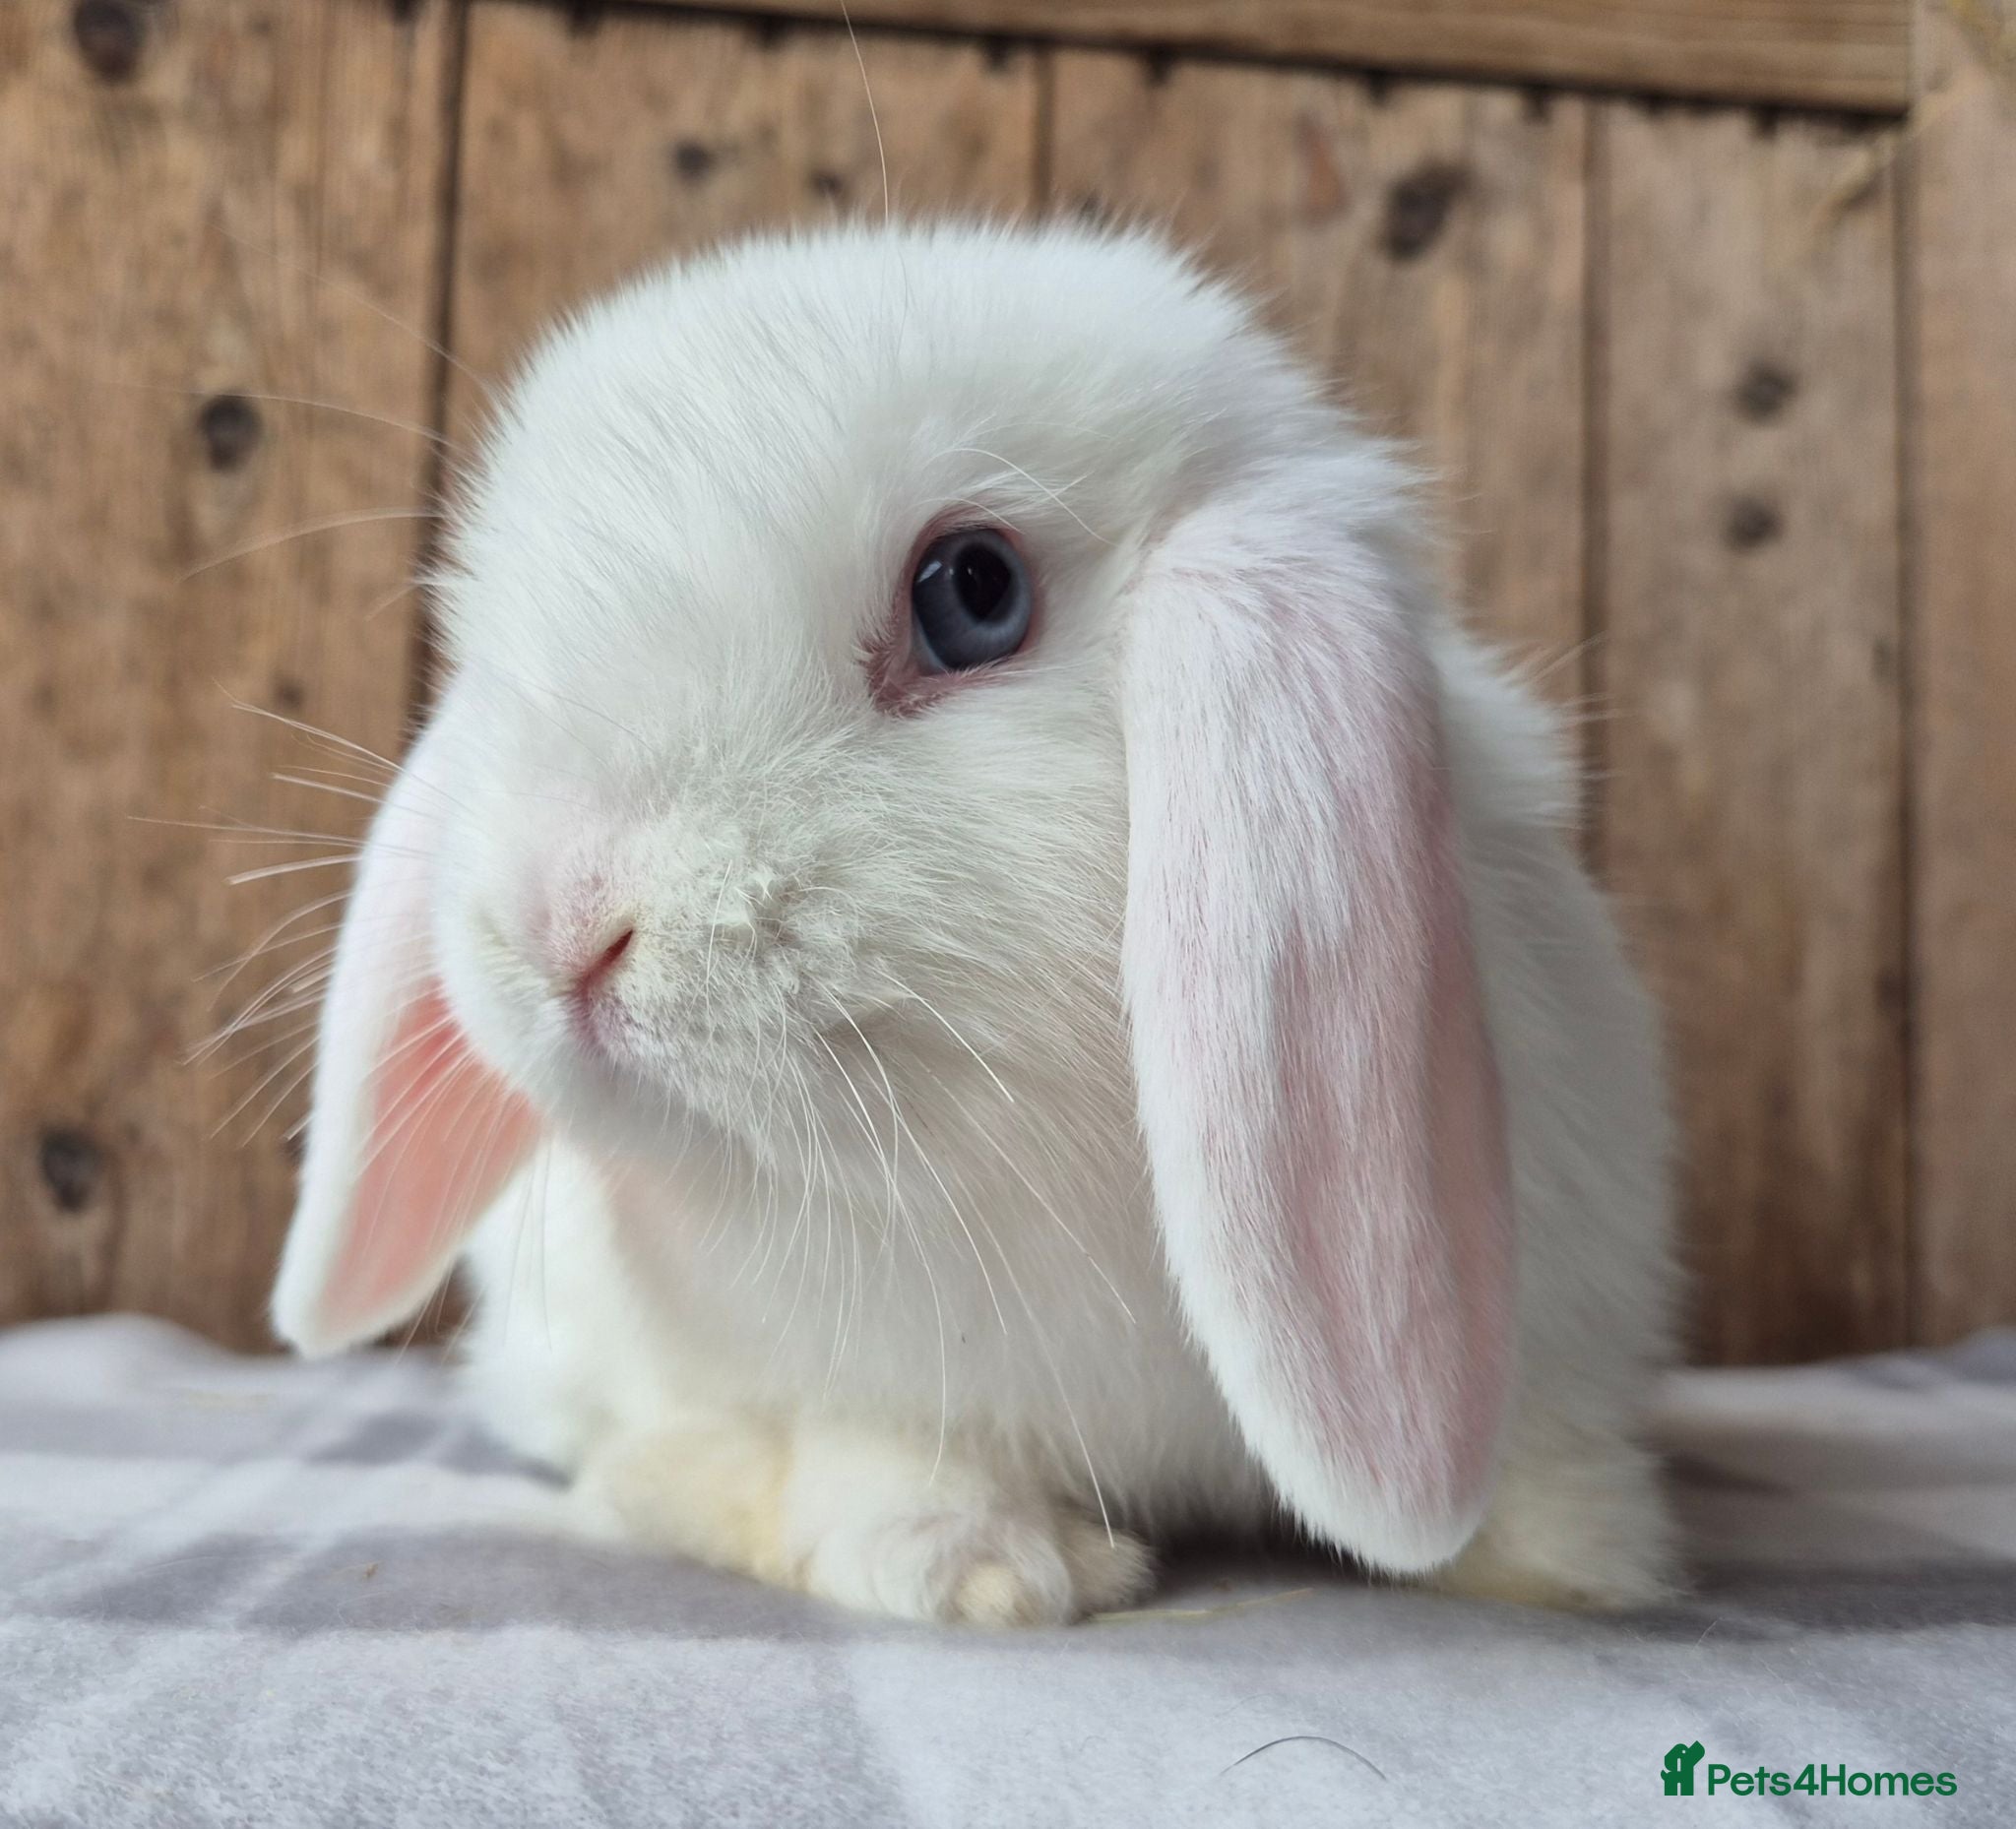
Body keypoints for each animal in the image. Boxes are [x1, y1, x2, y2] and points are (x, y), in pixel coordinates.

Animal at [270, 219, 1680, 1626]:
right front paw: (980, 1572)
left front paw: (1567, 1558)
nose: (562, 921)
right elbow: (883, 1456)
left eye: (971, 593)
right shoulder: (852, 1385)